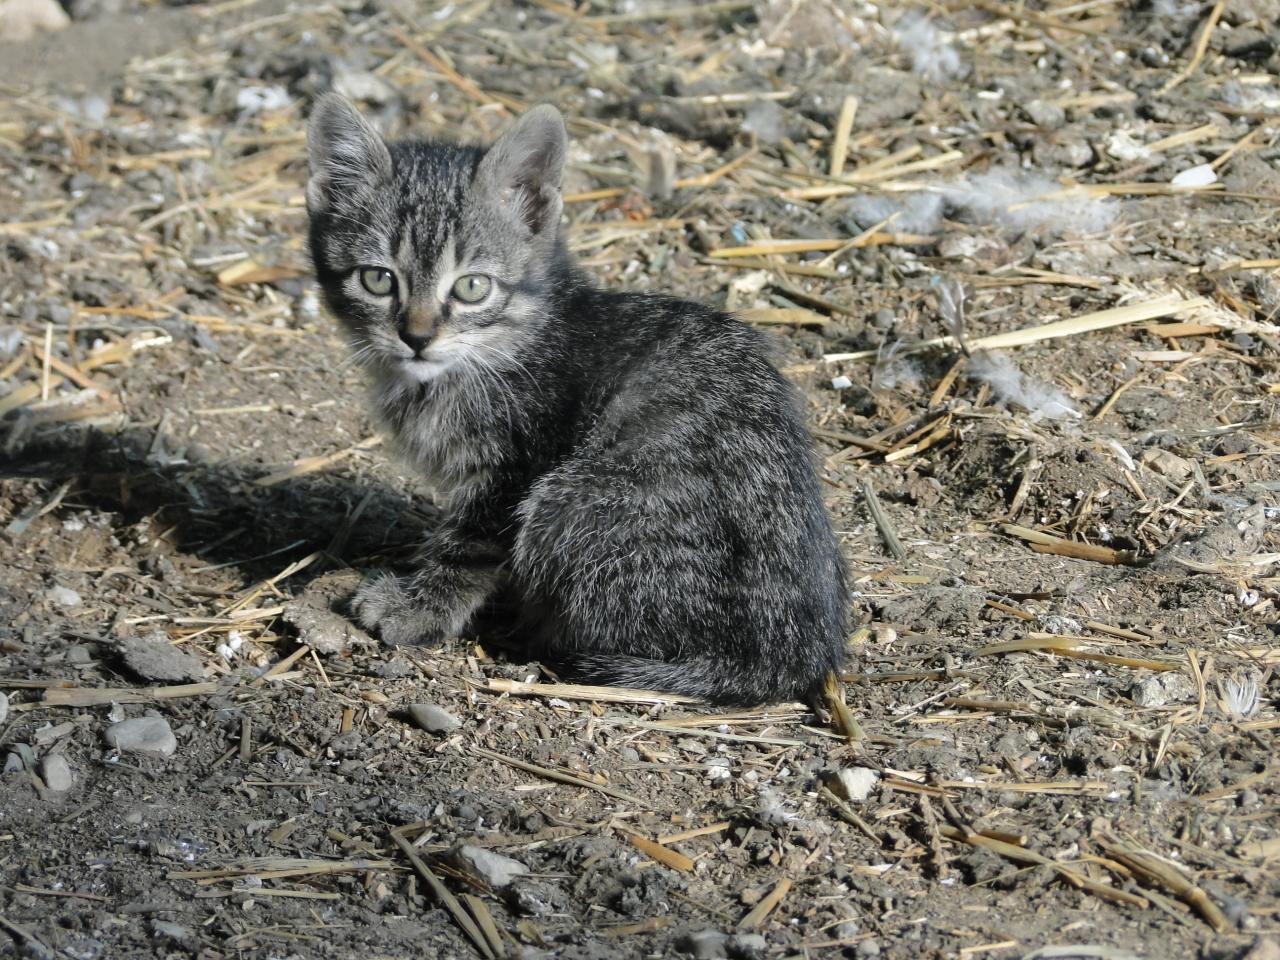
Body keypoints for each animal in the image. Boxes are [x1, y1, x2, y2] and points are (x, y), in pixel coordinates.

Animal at [305, 96, 849, 706]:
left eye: (472, 287)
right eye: (378, 280)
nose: (417, 337)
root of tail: (791, 656)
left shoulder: (517, 468)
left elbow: (469, 544)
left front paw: (421, 606)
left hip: (570, 504)